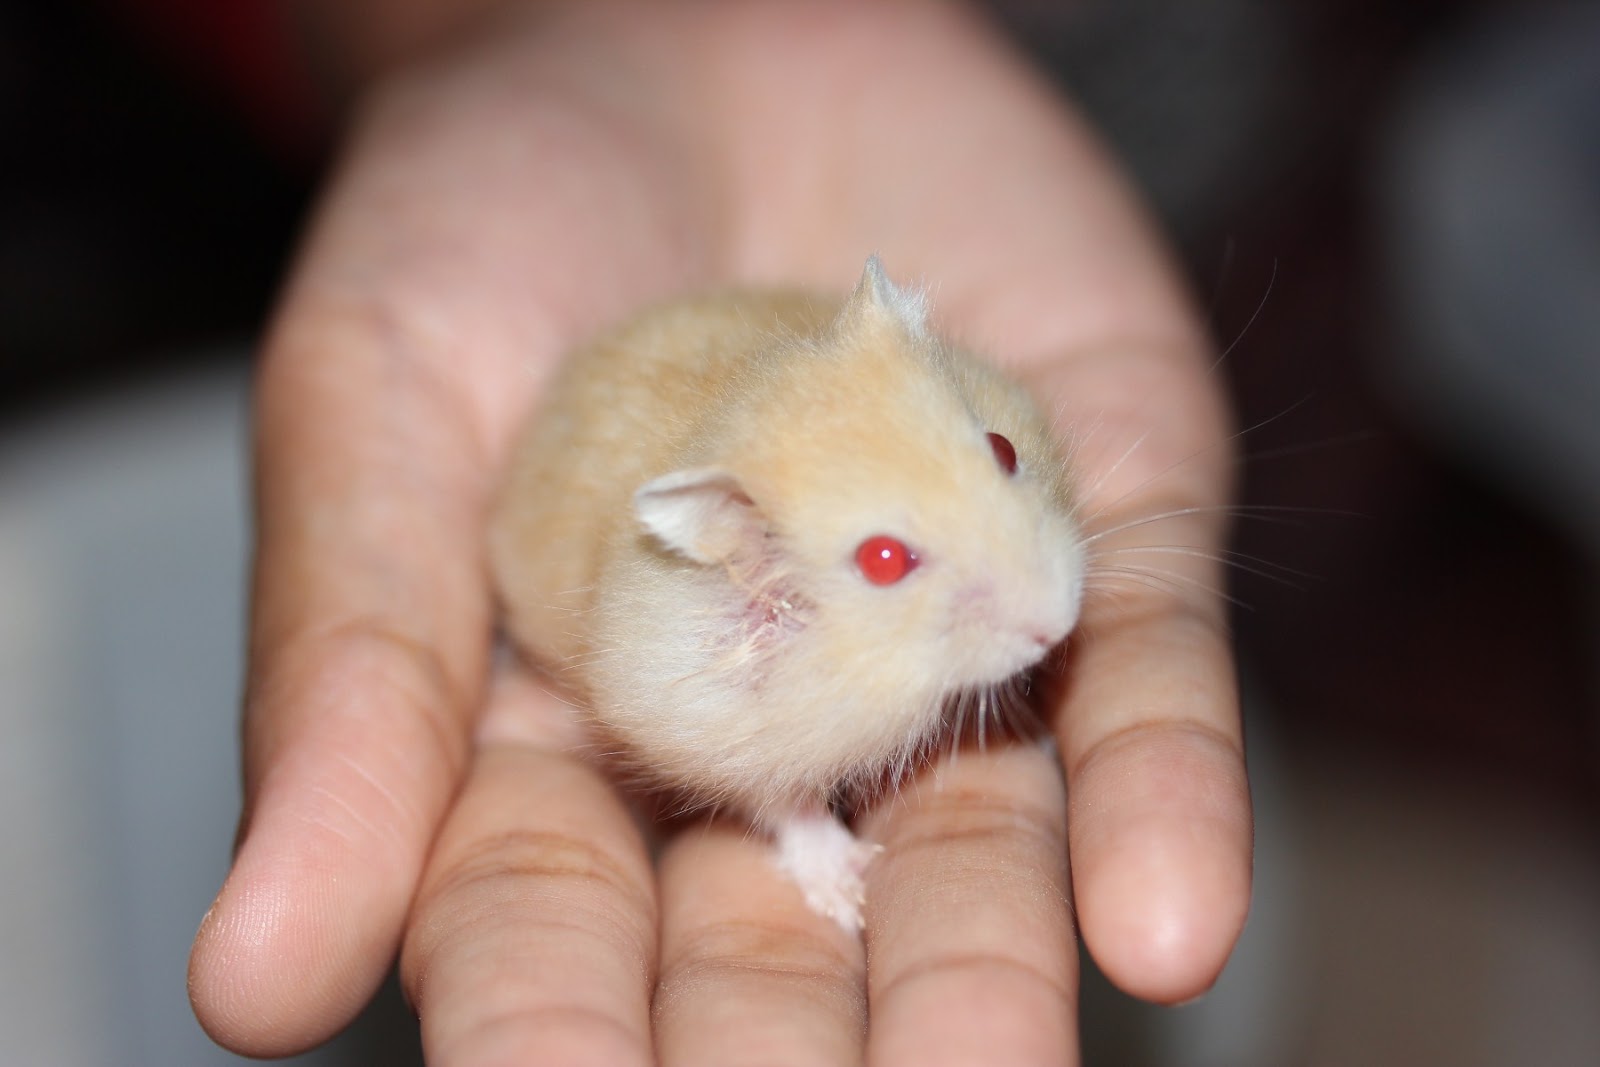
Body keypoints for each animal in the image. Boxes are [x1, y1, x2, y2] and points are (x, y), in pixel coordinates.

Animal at [489, 255, 1088, 927]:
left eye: (1004, 449)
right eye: (883, 560)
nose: (1060, 623)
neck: (876, 656)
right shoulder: (710, 732)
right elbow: (785, 804)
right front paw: (848, 895)